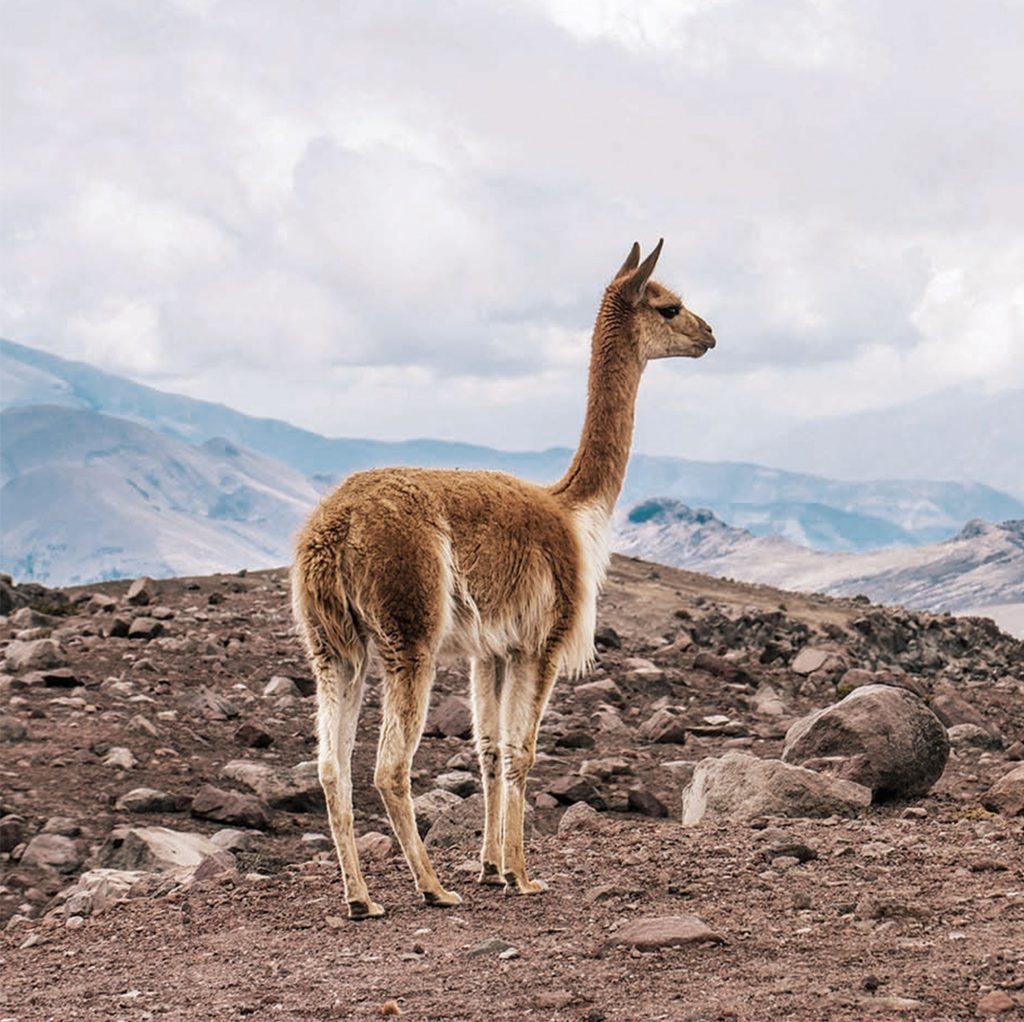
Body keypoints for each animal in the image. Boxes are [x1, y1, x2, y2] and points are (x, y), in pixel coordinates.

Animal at [292, 239, 716, 918]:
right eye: (670, 306)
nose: (709, 334)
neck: (574, 512)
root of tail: (334, 529)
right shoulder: (542, 641)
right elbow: (523, 751)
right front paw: (521, 873)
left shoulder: (490, 650)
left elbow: (488, 750)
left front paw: (491, 868)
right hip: (408, 632)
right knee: (389, 767)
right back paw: (433, 887)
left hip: (333, 647)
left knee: (331, 766)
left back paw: (361, 899)